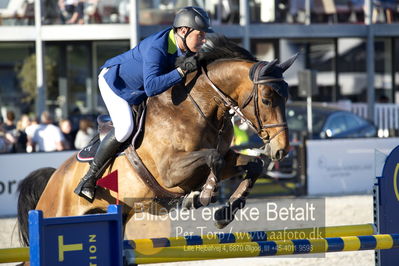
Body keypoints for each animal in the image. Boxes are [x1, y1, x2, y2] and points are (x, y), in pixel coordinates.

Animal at [17, 34, 296, 245]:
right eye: (267, 99)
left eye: (286, 97)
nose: (281, 150)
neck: (199, 107)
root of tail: (54, 179)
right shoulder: (171, 171)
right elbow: (212, 158)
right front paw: (201, 196)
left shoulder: (226, 158)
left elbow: (253, 165)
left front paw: (224, 213)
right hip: (59, 210)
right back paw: (86, 184)